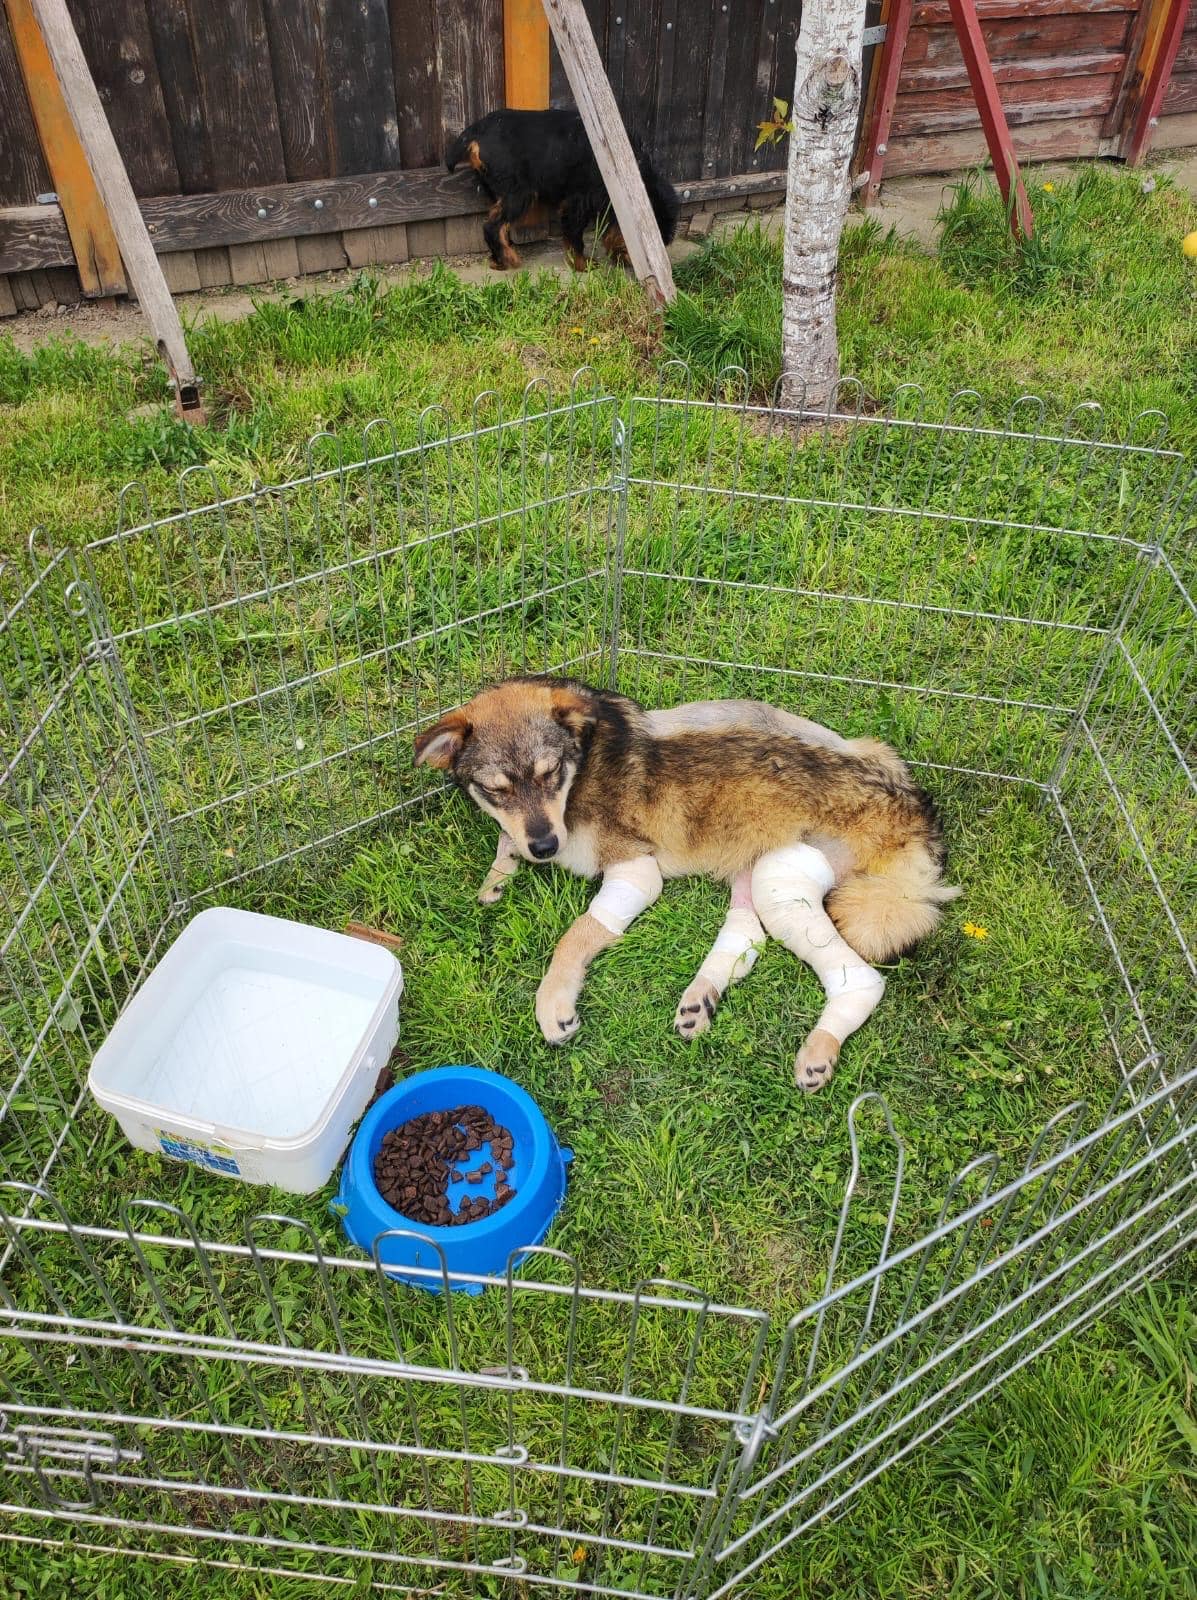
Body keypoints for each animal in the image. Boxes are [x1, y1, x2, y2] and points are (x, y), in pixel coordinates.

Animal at [415, 678, 959, 1092]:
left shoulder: (636, 871)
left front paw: (554, 1001)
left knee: (859, 980)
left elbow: (577, 933)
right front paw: (498, 875)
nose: (546, 848)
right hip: (757, 863)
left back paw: (820, 1048)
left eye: (551, 774)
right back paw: (702, 999)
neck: (583, 765)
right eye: (496, 789)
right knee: (748, 935)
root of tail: (917, 809)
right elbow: (508, 838)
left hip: (785, 874)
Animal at [445, 109, 679, 273]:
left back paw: (498, 260)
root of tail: (475, 132)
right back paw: (509, 258)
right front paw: (582, 264)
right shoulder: (579, 201)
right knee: (492, 226)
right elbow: (575, 234)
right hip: (520, 193)